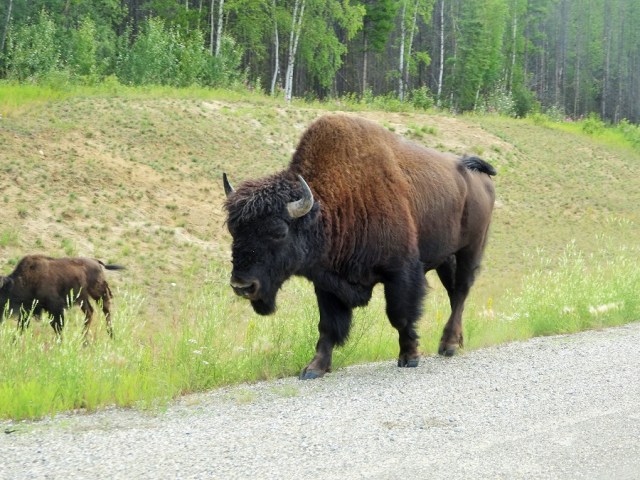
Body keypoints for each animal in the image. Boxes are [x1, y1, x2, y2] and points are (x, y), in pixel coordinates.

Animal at [223, 114, 496, 379]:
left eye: (279, 232)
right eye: (233, 230)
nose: (242, 286)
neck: (329, 205)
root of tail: (476, 174)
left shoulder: (401, 272)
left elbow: (400, 316)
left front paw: (409, 357)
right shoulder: (327, 281)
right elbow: (328, 325)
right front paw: (314, 368)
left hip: (471, 249)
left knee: (460, 291)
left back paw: (448, 345)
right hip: (446, 257)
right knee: (453, 293)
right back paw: (456, 341)